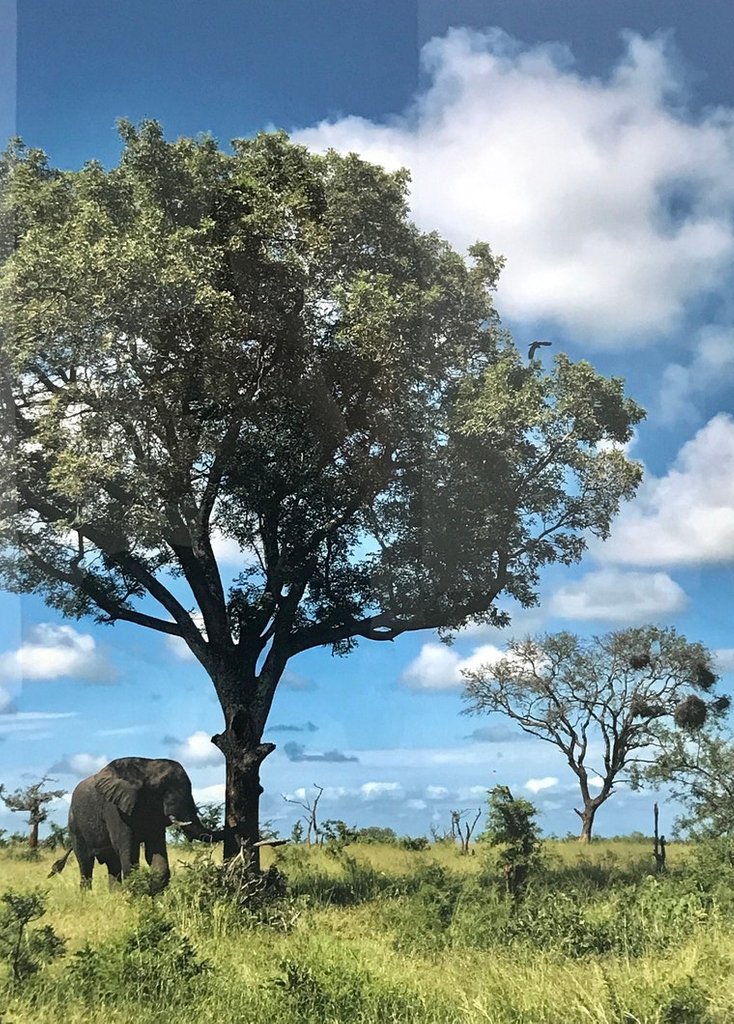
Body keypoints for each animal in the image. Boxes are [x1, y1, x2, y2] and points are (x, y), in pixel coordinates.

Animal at [50, 757, 221, 891]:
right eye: (161, 789)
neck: (146, 766)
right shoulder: (115, 808)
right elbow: (129, 852)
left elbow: (155, 853)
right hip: (74, 824)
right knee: (86, 865)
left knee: (113, 865)